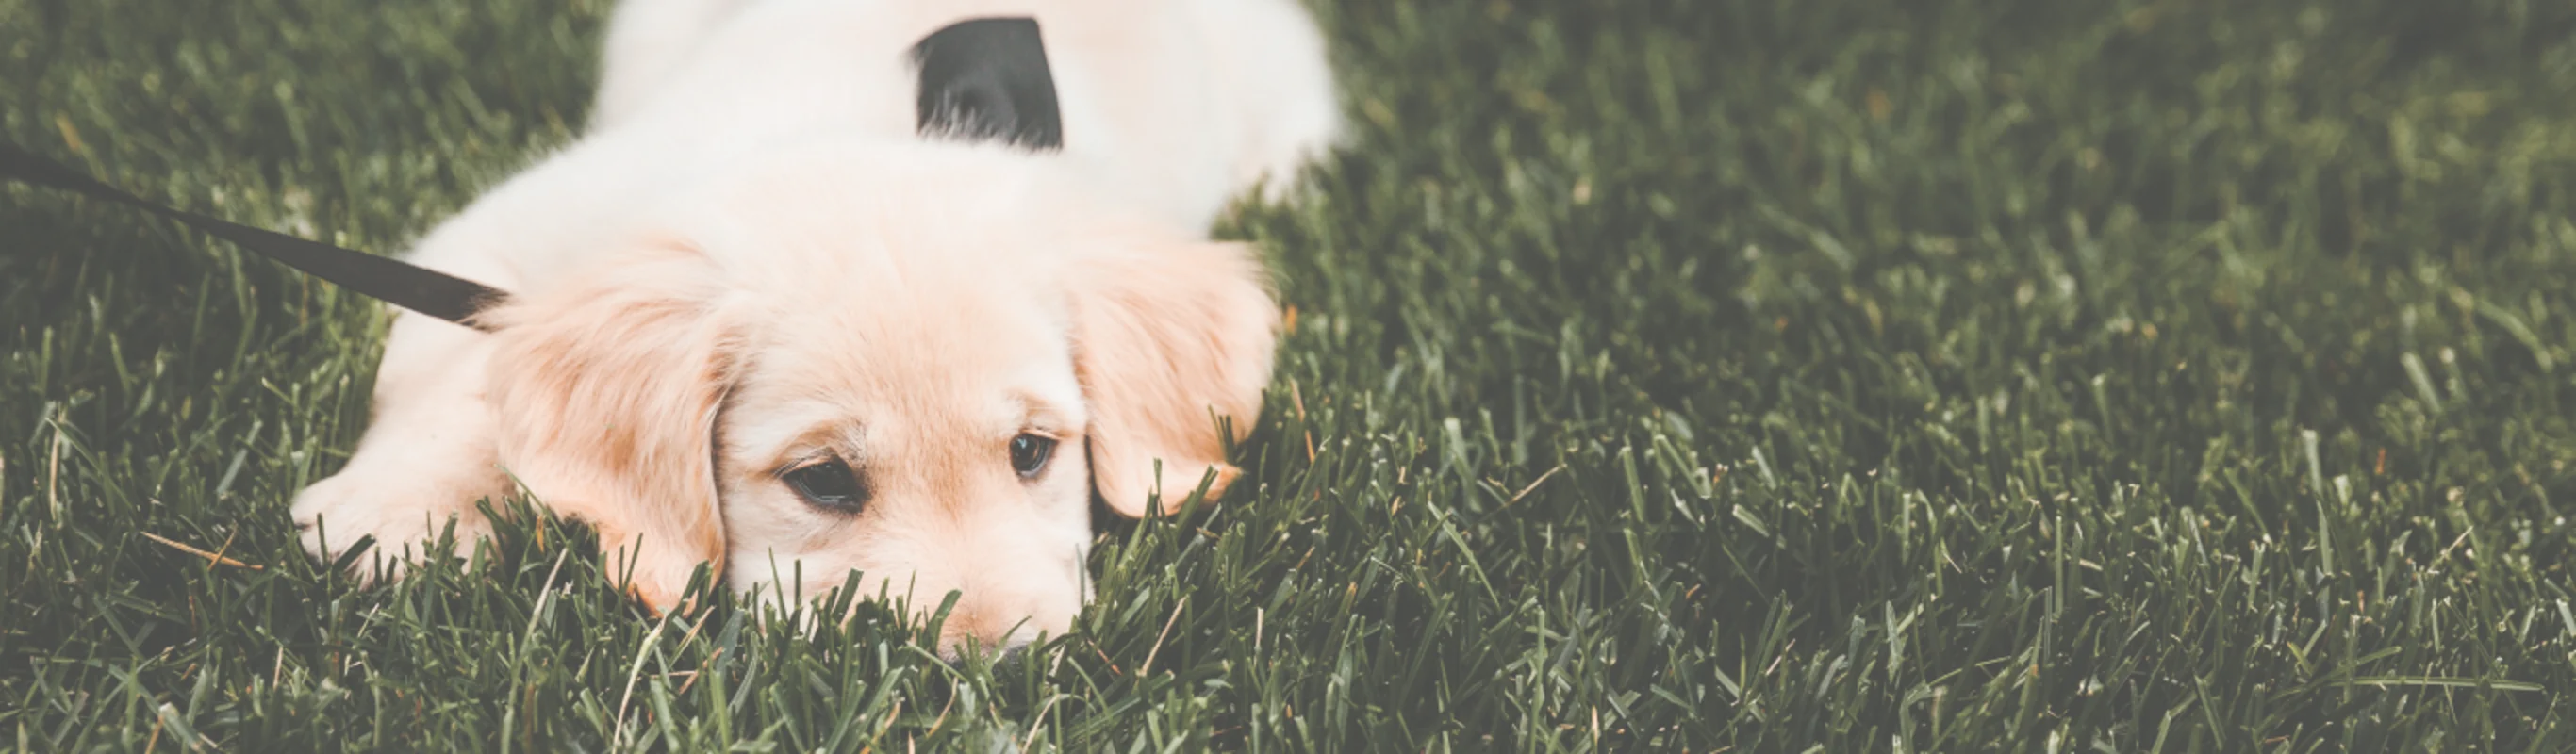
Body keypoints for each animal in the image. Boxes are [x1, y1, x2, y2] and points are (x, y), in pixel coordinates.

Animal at [292, 0, 1339, 648]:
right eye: (824, 480)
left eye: (1032, 452)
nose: (999, 669)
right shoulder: (500, 235)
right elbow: (467, 382)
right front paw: (391, 515)